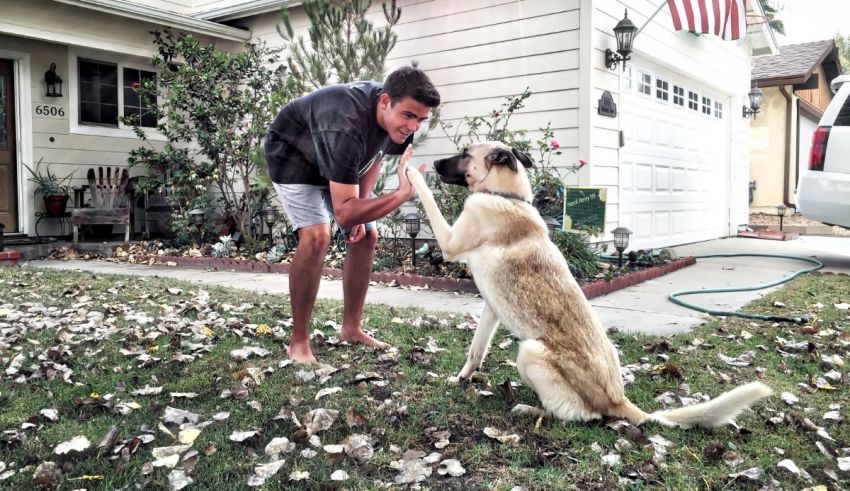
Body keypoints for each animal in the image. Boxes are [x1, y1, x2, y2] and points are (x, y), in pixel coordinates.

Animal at [404, 141, 768, 426]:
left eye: (465, 154)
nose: (434, 163)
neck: (505, 196)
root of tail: (618, 399)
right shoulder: (492, 308)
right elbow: (476, 350)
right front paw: (462, 377)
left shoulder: (450, 243)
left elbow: (430, 202)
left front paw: (411, 171)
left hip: (530, 351)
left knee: (579, 416)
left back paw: (528, 409)